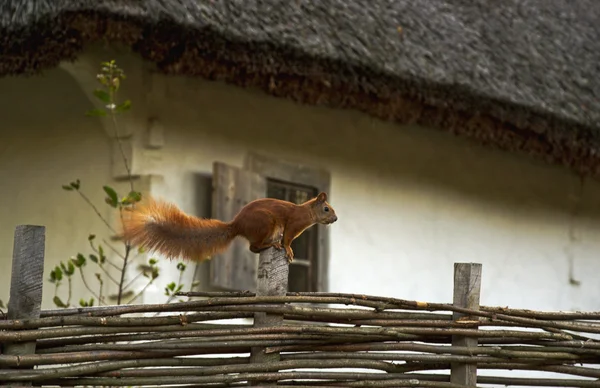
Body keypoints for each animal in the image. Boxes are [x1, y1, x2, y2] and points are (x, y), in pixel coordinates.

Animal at [120, 192, 338, 262]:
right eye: (327, 209)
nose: (335, 219)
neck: (307, 213)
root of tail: (237, 225)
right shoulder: (293, 224)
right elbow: (287, 239)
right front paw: (288, 250)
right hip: (265, 223)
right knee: (254, 247)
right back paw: (271, 245)